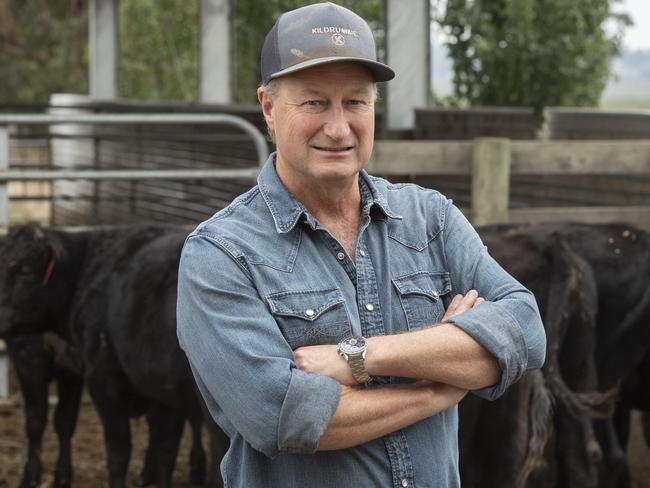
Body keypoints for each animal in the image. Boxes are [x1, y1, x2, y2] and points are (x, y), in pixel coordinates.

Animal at [0, 226, 228, 488]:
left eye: (24, 272)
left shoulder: (96, 377)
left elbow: (117, 451)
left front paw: (31, 476)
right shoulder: (161, 391)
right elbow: (164, 451)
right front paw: (60, 476)